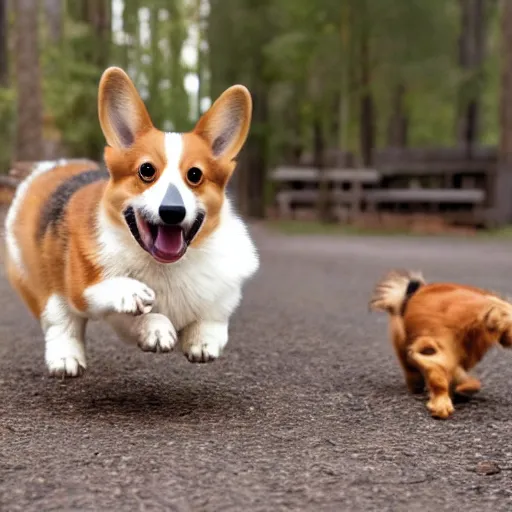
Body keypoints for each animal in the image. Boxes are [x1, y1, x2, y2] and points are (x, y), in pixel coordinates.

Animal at [370, 270, 510, 418]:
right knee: (409, 367)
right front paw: (441, 404)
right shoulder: (436, 349)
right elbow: (439, 376)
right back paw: (417, 384)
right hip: (403, 342)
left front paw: (462, 390)